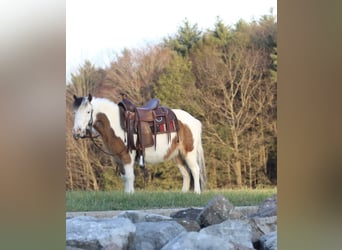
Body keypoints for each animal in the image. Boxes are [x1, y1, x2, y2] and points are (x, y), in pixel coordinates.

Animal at [72, 94, 206, 193]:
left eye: (88, 112)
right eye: (74, 112)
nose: (77, 132)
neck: (116, 124)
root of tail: (194, 120)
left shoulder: (127, 157)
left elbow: (130, 176)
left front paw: (130, 194)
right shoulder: (118, 158)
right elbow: (124, 178)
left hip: (189, 152)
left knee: (195, 170)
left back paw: (197, 192)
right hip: (177, 155)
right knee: (186, 173)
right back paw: (183, 192)